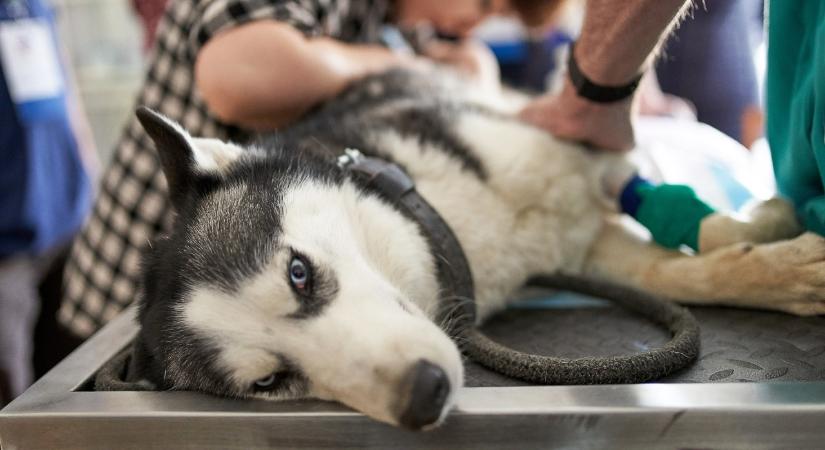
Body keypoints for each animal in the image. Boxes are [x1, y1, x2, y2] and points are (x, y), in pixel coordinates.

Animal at [132, 69, 824, 428]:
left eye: (297, 273)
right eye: (271, 381)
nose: (423, 396)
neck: (449, 226)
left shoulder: (583, 152)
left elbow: (685, 231)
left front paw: (767, 234)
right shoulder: (581, 250)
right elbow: (677, 274)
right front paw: (779, 267)